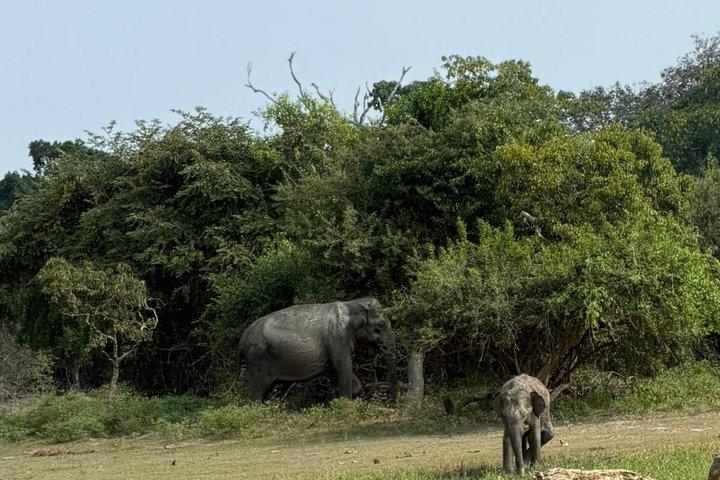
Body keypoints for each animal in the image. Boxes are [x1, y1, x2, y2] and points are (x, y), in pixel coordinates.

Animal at [238, 297, 397, 402]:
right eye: (380, 326)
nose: (394, 400)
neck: (351, 304)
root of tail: (242, 339)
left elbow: (336, 369)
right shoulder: (337, 337)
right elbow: (342, 367)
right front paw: (345, 404)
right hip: (257, 358)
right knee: (257, 394)